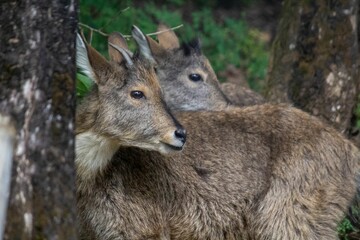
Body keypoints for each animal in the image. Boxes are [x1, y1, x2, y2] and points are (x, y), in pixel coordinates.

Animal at [76, 26, 360, 240]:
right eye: (137, 92)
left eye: (158, 89)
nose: (180, 133)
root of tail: (350, 149)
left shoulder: (144, 229)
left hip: (293, 220)